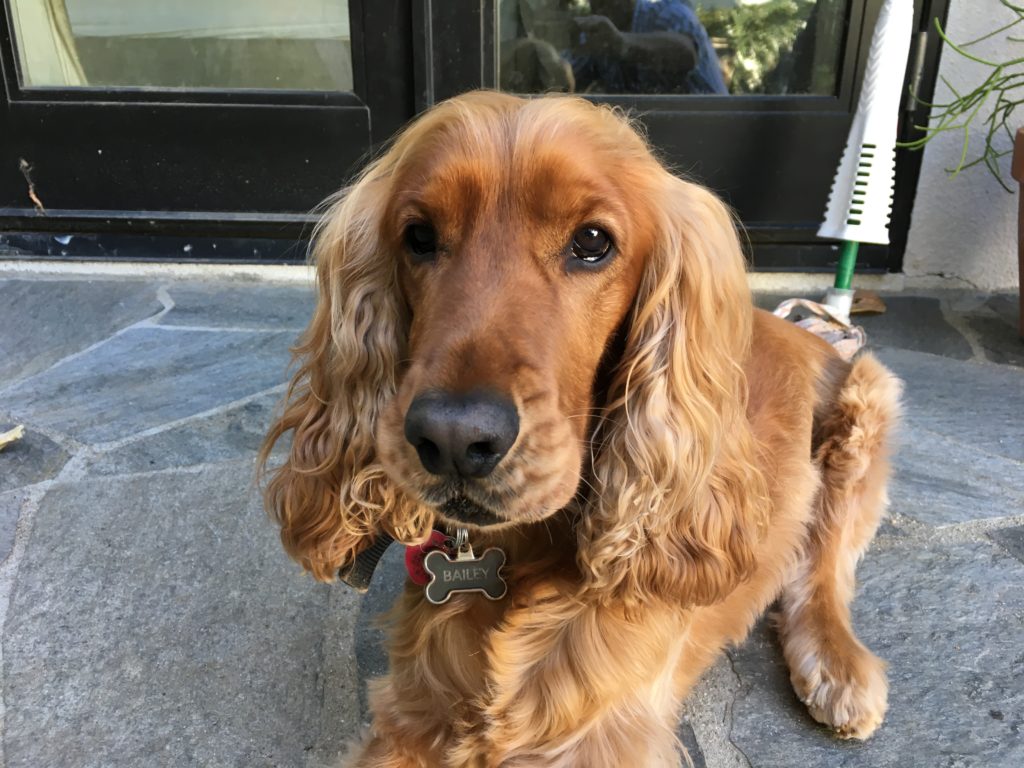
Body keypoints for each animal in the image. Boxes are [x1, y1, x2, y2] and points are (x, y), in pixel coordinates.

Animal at [262, 91, 905, 768]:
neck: (523, 552)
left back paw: (839, 669)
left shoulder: (600, 743)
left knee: (823, 570)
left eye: (592, 242)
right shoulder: (407, 718)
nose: (454, 439)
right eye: (418, 237)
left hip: (868, 405)